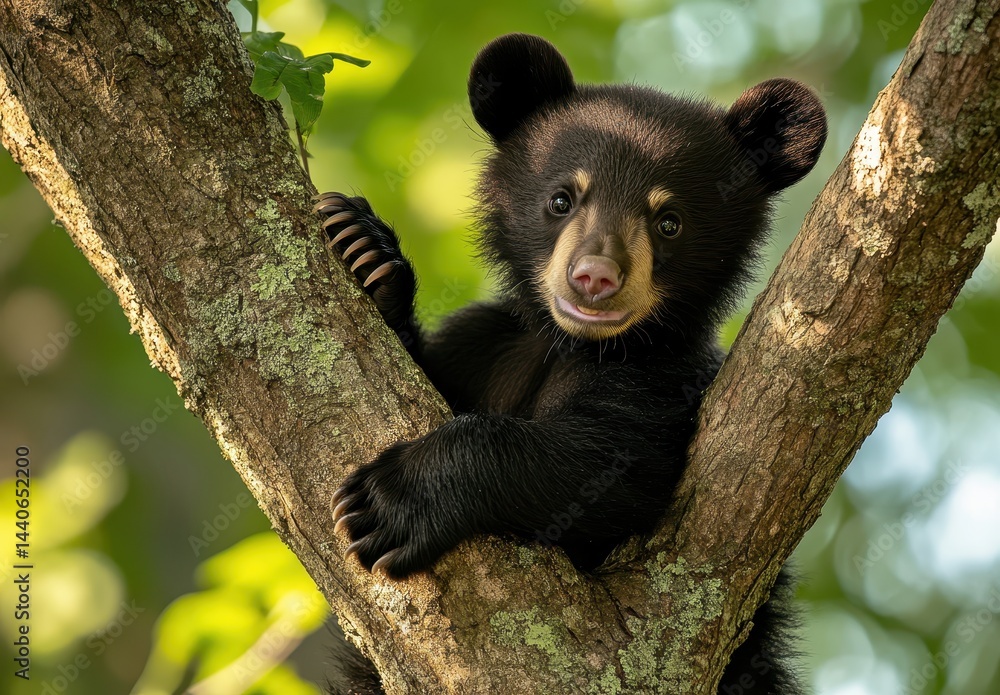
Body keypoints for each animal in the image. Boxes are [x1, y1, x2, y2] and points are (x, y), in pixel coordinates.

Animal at [316, 32, 826, 695]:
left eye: (669, 221)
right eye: (562, 198)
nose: (595, 277)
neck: (566, 345)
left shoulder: (666, 383)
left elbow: (609, 465)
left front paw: (388, 501)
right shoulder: (486, 344)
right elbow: (434, 368)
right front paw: (364, 250)